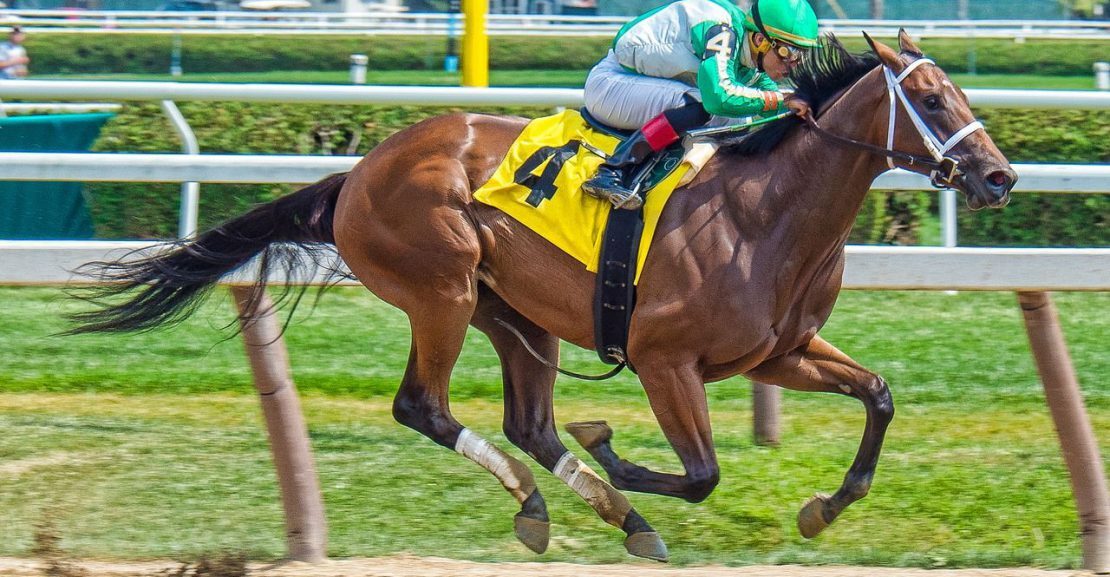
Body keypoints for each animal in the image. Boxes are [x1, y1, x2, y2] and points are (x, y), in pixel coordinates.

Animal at [67, 30, 1016, 559]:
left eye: (957, 92)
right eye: (931, 99)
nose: (1000, 176)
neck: (765, 210)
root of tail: (357, 173)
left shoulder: (778, 351)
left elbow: (878, 395)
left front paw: (825, 506)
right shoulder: (665, 359)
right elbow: (701, 472)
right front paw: (616, 450)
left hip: (515, 314)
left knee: (528, 422)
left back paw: (593, 512)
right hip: (442, 290)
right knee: (424, 406)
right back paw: (560, 498)